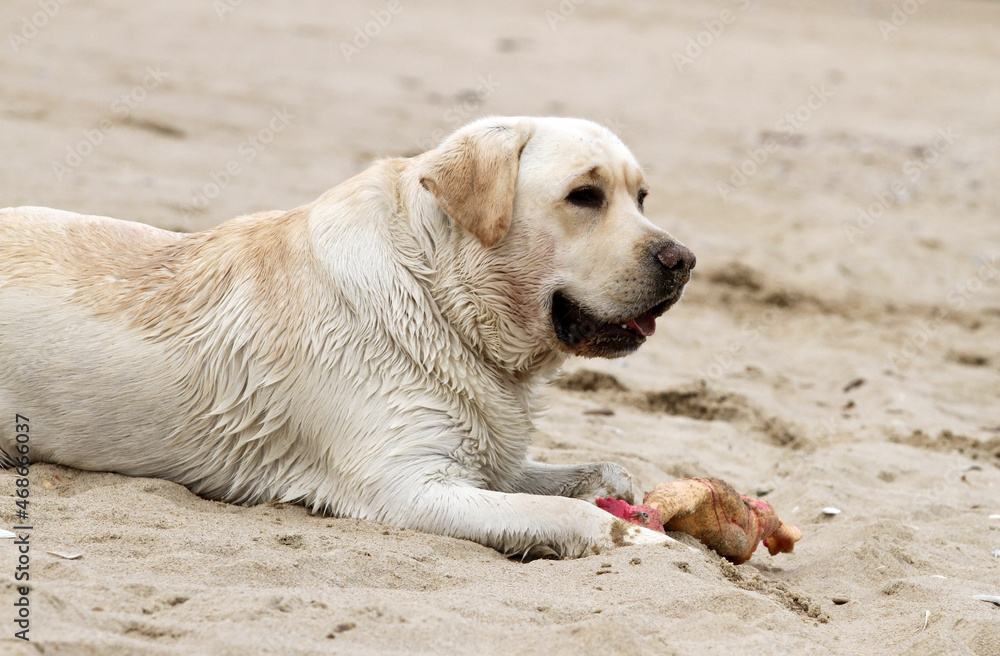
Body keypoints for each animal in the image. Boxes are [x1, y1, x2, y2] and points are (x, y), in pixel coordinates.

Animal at [0, 116, 695, 558]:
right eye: (585, 195)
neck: (439, 293)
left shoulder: (477, 461)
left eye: (640, 197)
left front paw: (621, 494)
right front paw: (647, 541)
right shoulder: (406, 485)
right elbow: (569, 514)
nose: (684, 259)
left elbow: (593, 473)